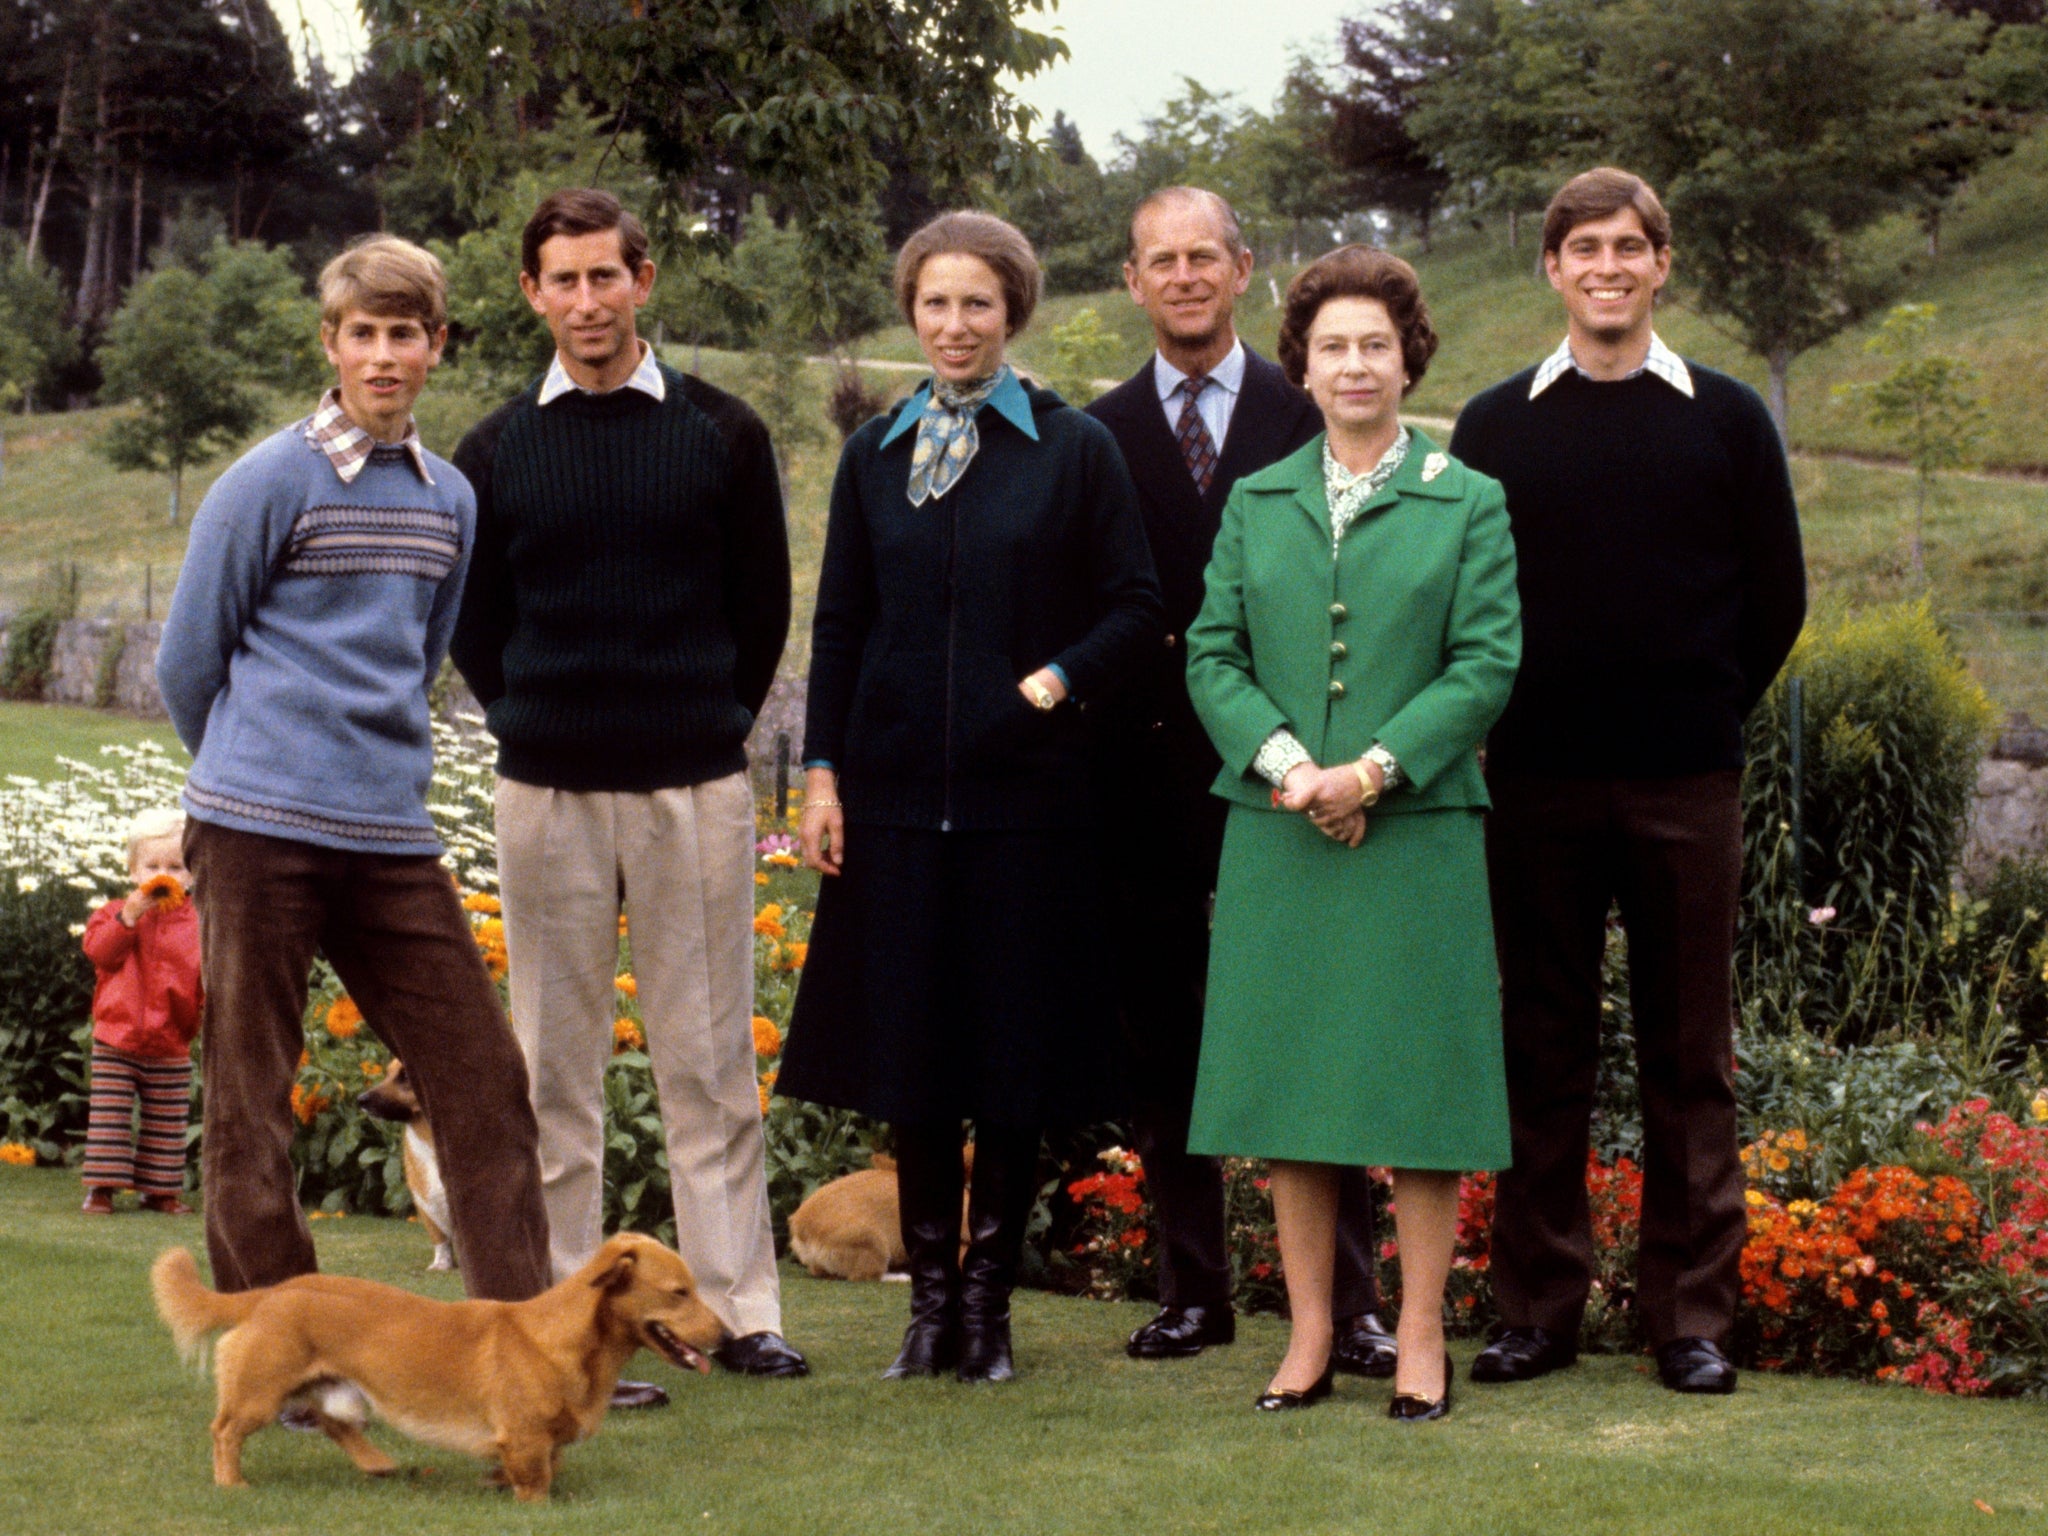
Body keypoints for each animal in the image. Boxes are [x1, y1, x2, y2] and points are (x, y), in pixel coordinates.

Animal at [151, 1236, 729, 1507]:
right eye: (680, 1293)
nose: (726, 1339)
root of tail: (271, 1293)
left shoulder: (544, 1440)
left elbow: (548, 1463)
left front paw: (494, 1480)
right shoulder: (524, 1437)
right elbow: (536, 1479)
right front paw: (531, 1503)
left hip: (339, 1390)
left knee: (333, 1424)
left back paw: (379, 1463)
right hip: (261, 1392)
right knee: (225, 1431)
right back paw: (231, 1483)